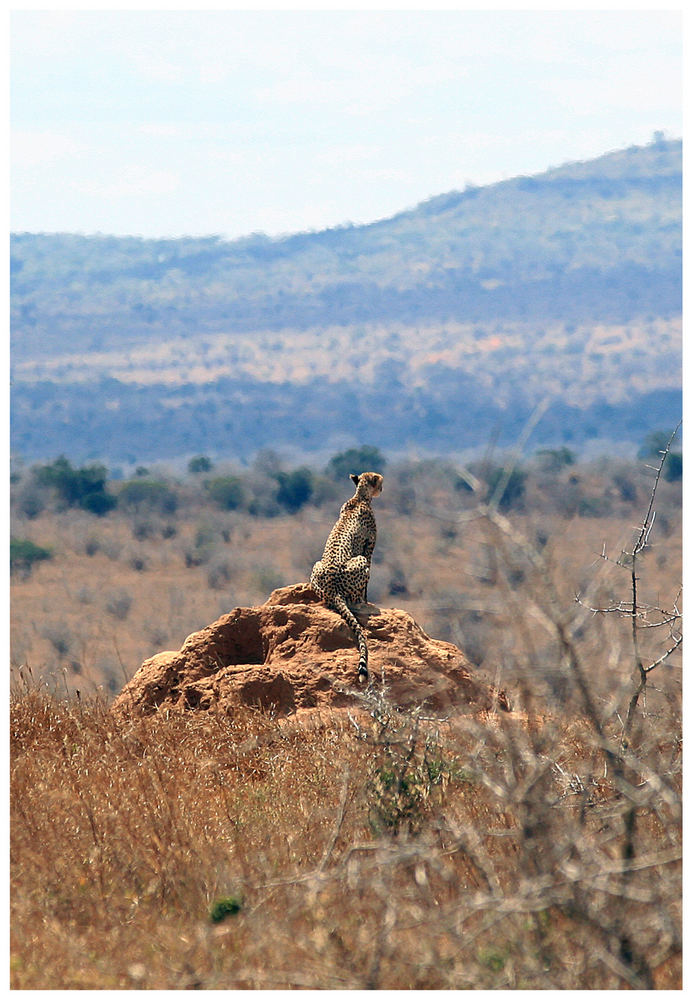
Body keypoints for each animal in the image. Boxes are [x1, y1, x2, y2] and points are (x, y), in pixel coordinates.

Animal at [310, 468, 384, 680]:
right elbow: (368, 582)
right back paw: (360, 602)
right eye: (379, 482)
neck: (359, 497)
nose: (382, 488)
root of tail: (333, 590)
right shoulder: (369, 548)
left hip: (316, 566)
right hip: (360, 561)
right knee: (355, 595)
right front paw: (367, 600)